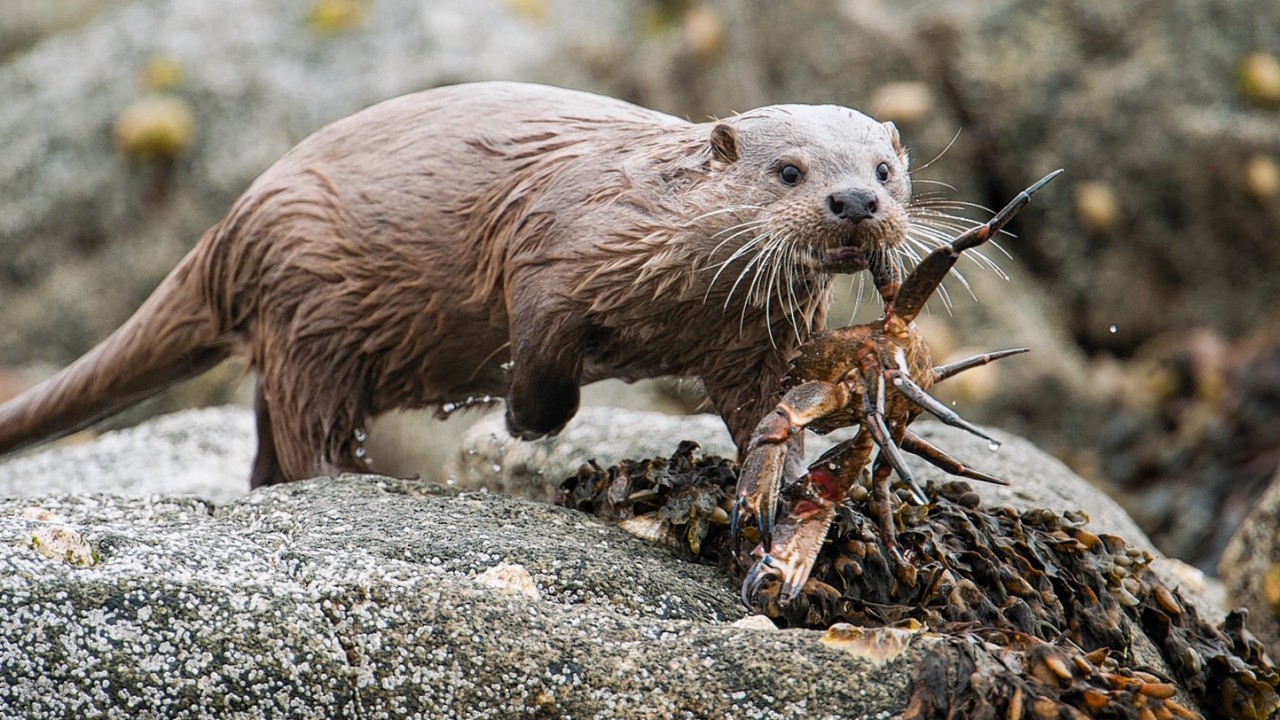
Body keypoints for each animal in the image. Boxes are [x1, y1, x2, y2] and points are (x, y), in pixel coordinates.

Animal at [0, 81, 911, 484]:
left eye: (886, 170)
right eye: (790, 171)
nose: (855, 201)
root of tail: (232, 225)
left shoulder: (749, 344)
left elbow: (767, 409)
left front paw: (783, 479)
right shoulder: (554, 251)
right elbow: (539, 353)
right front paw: (521, 422)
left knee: (268, 427)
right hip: (311, 293)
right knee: (307, 421)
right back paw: (350, 480)